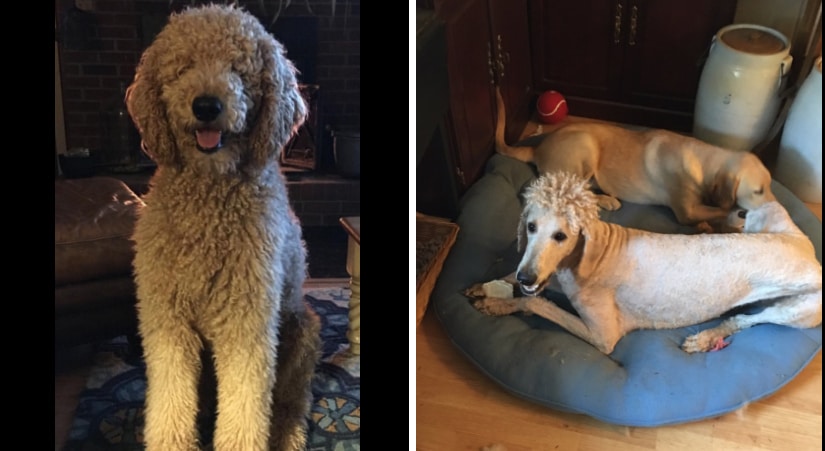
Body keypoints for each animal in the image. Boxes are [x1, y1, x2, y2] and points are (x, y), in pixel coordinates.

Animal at [466, 171, 820, 354]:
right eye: (530, 227)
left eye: (561, 235)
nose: (527, 277)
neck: (593, 255)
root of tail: (809, 249)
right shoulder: (552, 274)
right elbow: (521, 283)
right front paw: (488, 287)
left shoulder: (604, 336)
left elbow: (537, 304)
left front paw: (498, 304)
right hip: (766, 216)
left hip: (800, 310)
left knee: (749, 320)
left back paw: (705, 337)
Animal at [496, 89, 772, 230]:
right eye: (758, 190)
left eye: (770, 185)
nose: (775, 207)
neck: (704, 162)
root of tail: (538, 148)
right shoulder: (687, 211)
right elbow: (721, 210)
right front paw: (730, 217)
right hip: (585, 144)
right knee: (573, 191)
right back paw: (606, 201)